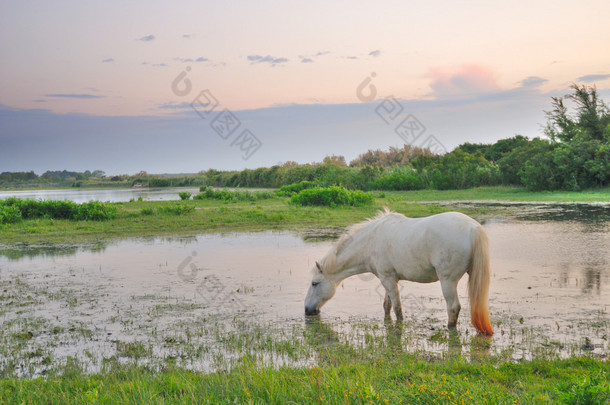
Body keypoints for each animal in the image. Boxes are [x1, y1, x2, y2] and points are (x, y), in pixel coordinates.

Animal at [302, 208, 492, 334]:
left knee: (453, 307)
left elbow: (397, 309)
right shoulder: (388, 278)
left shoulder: (387, 279)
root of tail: (473, 227)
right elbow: (387, 305)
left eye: (314, 283)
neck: (370, 242)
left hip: (448, 281)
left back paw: (450, 330)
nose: (307, 310)